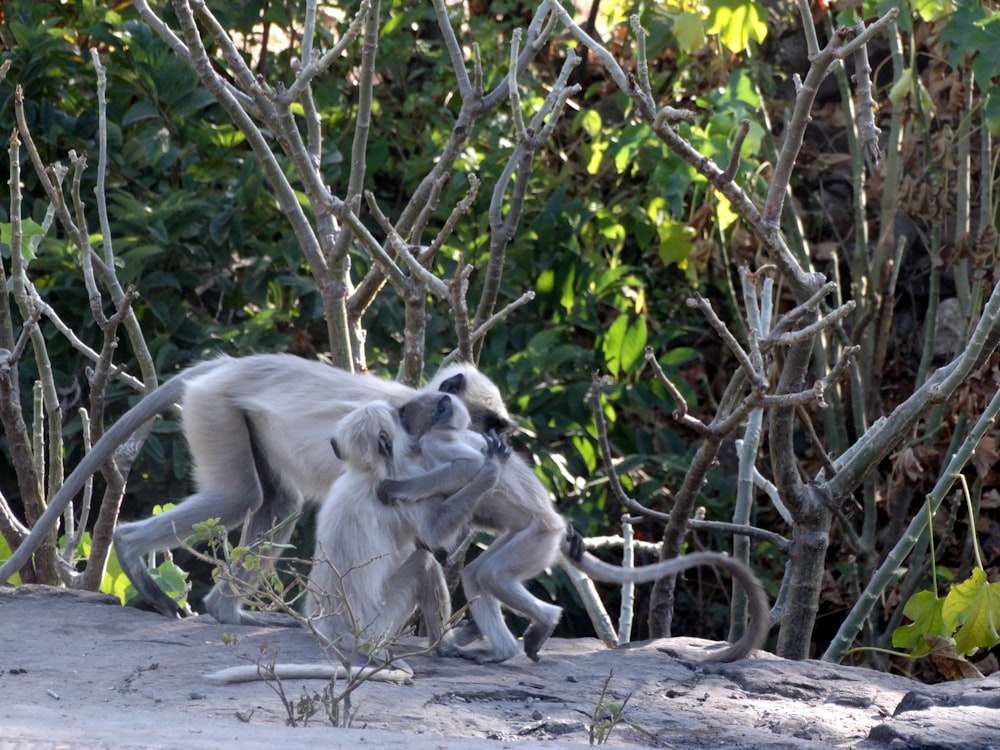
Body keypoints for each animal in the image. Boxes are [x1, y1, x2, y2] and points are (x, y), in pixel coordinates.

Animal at [0, 356, 512, 624]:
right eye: (489, 423)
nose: (500, 439)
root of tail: (230, 367)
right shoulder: (413, 435)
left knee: (279, 505)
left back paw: (226, 610)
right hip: (214, 409)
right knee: (240, 499)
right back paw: (132, 552)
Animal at [209, 400, 508, 688]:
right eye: (398, 417)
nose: (407, 419)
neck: (366, 472)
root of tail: (336, 631)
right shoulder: (402, 481)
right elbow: (436, 534)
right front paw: (490, 470)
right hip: (381, 622)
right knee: (424, 563)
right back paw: (445, 644)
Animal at [378, 384, 768, 668]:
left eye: (407, 411)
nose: (399, 415)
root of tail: (555, 526)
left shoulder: (437, 443)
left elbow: (469, 467)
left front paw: (397, 489)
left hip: (537, 539)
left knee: (490, 575)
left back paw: (527, 635)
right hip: (532, 541)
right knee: (478, 574)